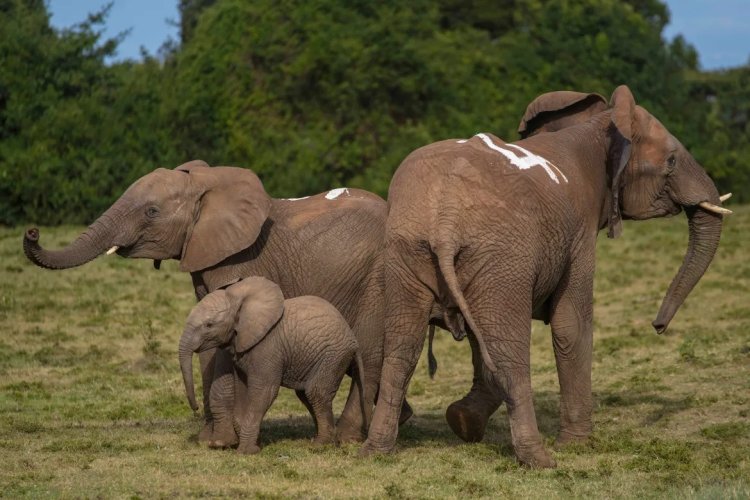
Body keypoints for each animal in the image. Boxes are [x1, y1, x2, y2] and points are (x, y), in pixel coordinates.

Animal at [179, 277, 366, 454]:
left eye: (209, 325)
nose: (195, 408)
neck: (240, 301)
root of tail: (353, 339)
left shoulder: (268, 347)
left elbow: (264, 391)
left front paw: (247, 452)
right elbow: (242, 391)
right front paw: (254, 445)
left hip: (334, 355)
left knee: (316, 392)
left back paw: (319, 446)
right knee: (305, 394)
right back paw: (327, 441)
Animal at [361, 85, 731, 467]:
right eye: (671, 161)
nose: (658, 326)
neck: (601, 127)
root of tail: (446, 216)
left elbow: (481, 337)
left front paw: (464, 421)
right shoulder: (580, 232)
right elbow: (571, 325)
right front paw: (577, 445)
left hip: (409, 249)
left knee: (403, 348)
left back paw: (375, 453)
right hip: (502, 255)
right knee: (508, 352)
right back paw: (539, 460)